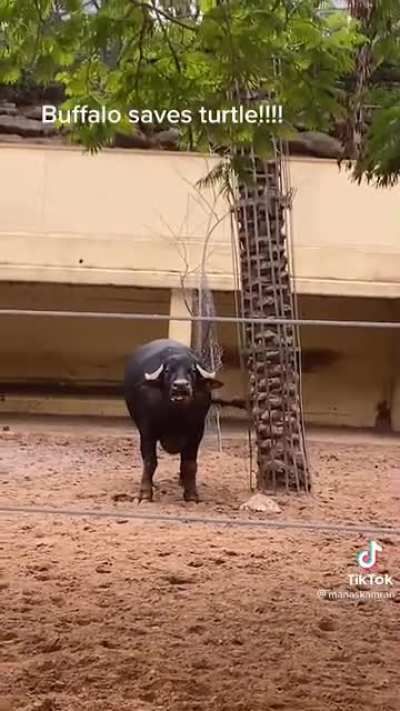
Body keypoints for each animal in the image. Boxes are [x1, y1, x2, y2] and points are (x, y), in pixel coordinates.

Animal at [123, 338, 223, 502]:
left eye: (192, 370)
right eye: (167, 371)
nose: (180, 386)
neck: (175, 417)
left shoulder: (196, 433)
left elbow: (190, 464)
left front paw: (191, 494)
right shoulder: (147, 433)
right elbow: (150, 462)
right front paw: (145, 493)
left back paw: (183, 481)